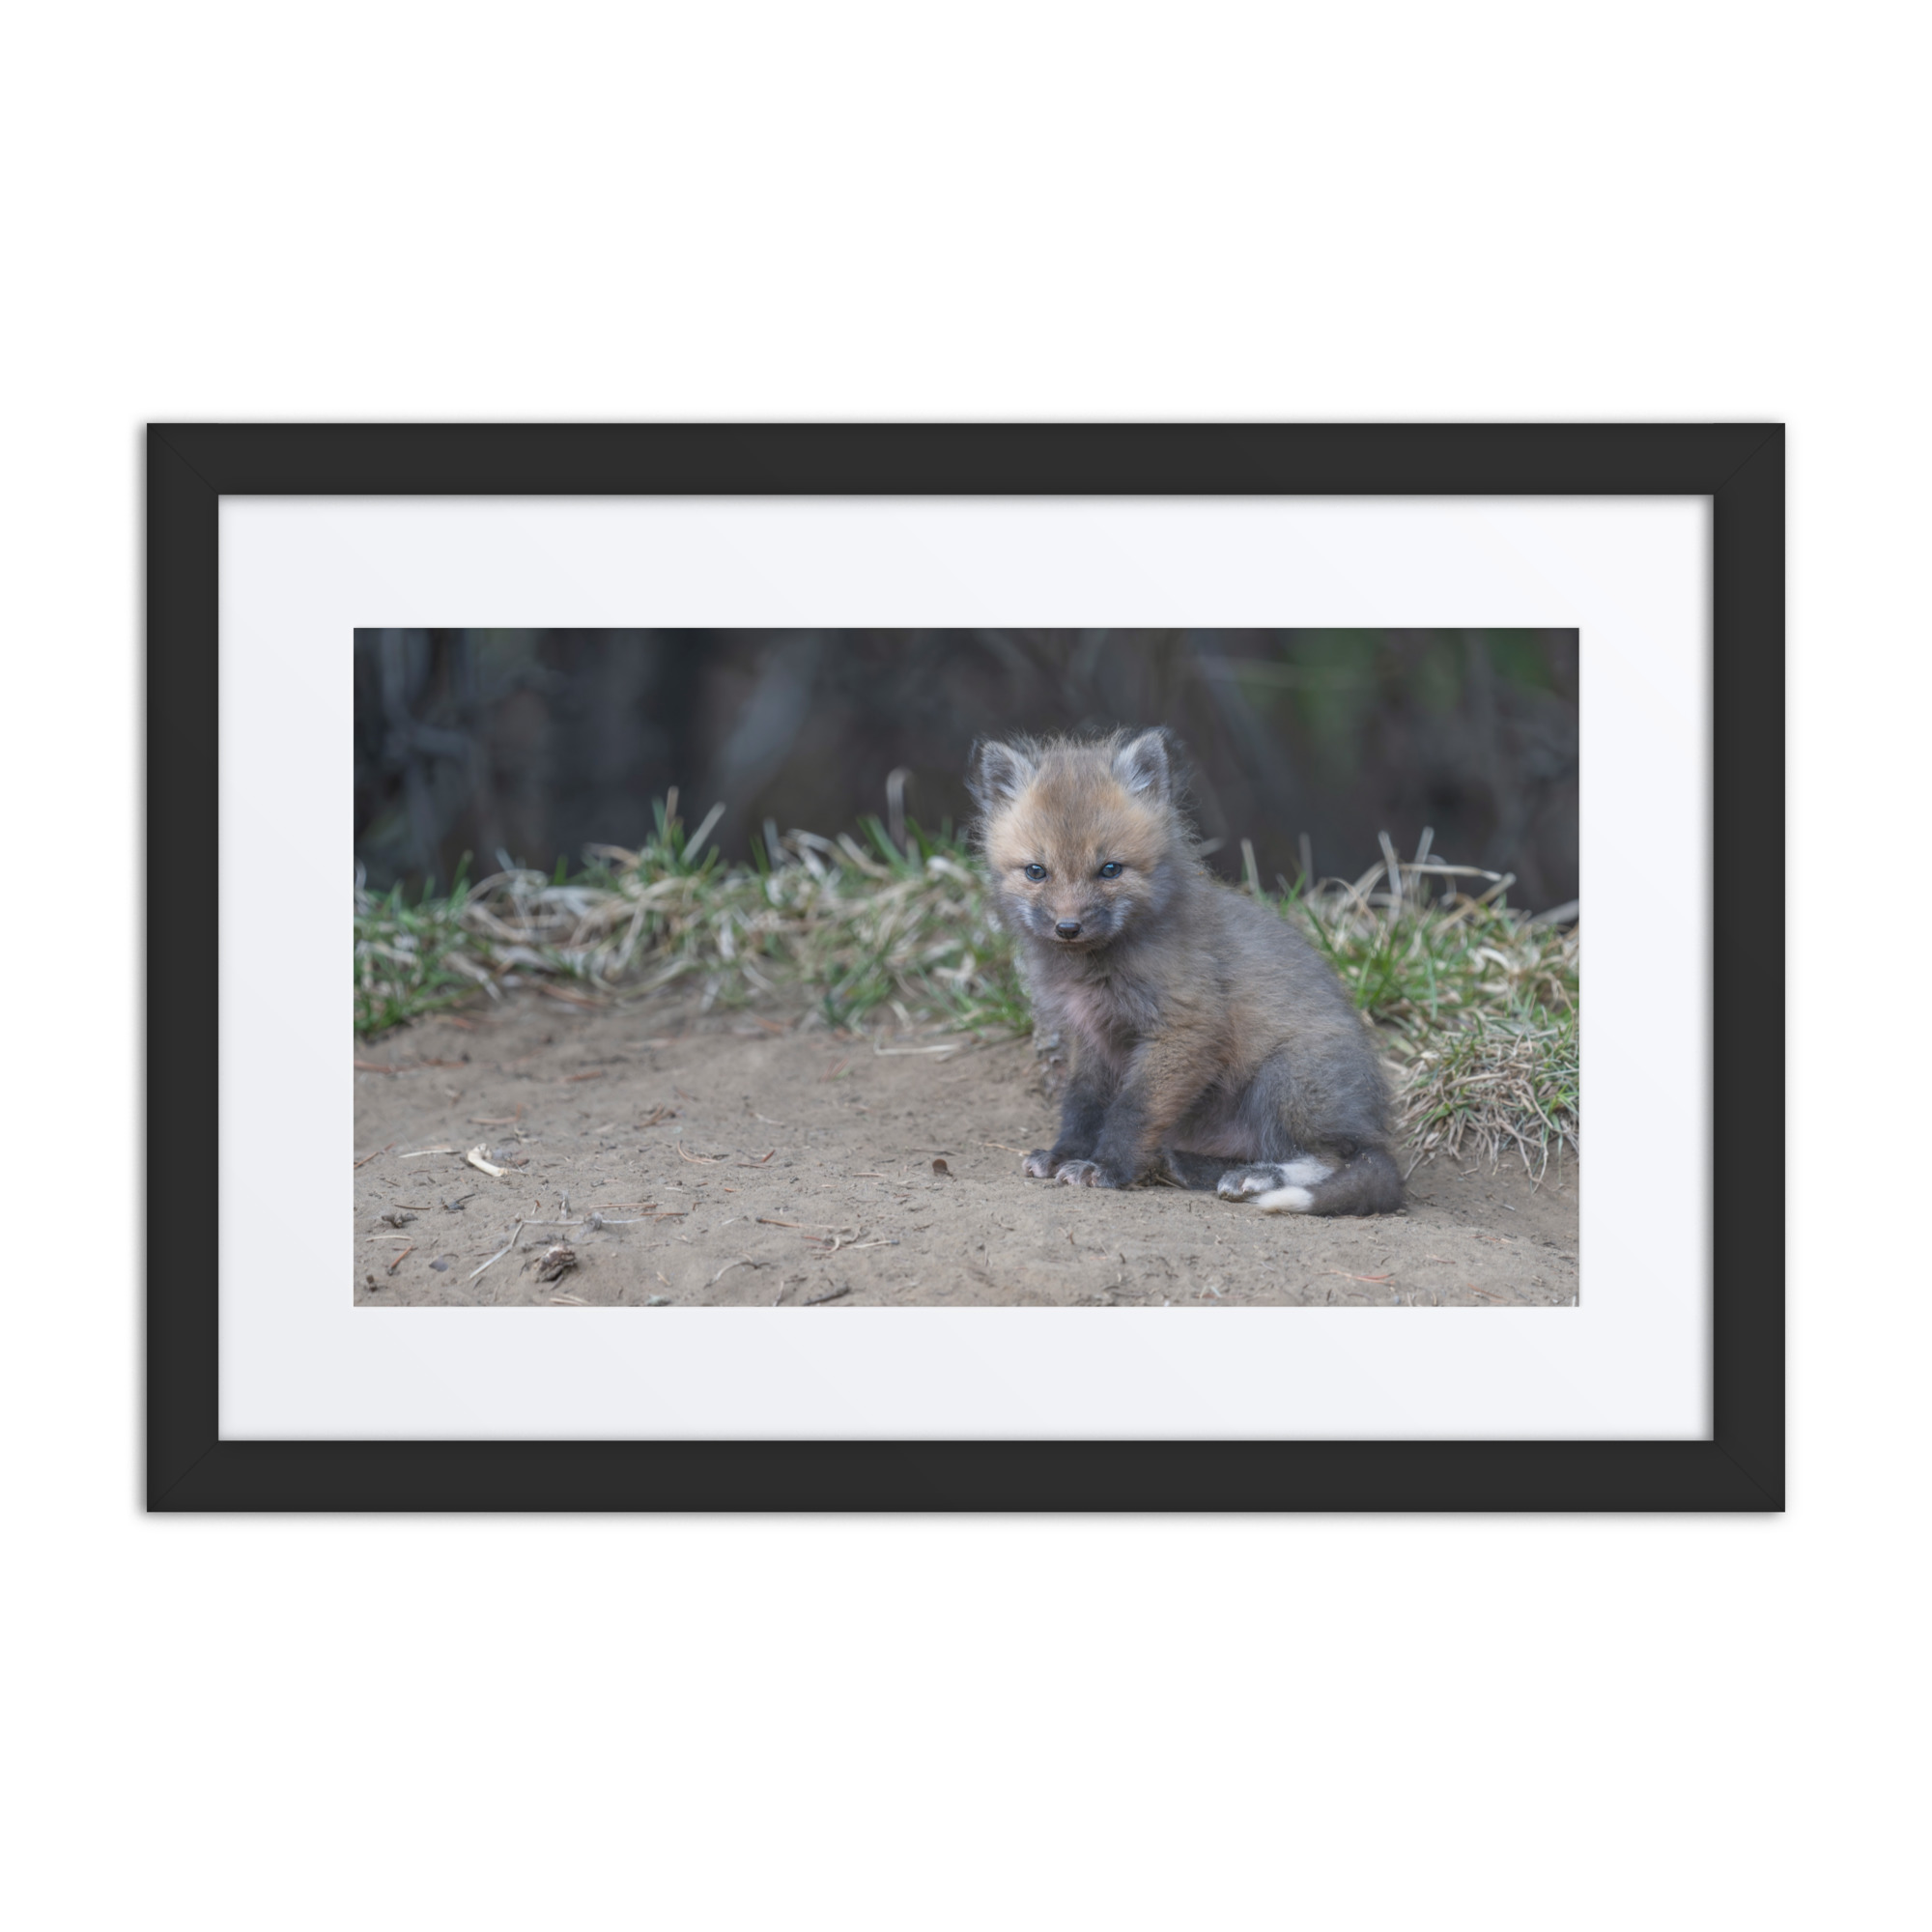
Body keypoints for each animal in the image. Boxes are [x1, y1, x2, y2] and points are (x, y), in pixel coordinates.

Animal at [967, 727, 1402, 1216]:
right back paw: (1189, 1165)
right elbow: (1081, 1104)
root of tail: (1373, 1124)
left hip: (1285, 1079)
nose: (1068, 927)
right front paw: (1065, 1154)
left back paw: (1256, 1177)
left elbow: (1132, 1110)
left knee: (1335, 1158)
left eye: (1110, 869)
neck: (1094, 969)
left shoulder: (1184, 1028)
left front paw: (1107, 1168)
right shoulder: (1091, 1037)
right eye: (1036, 871)